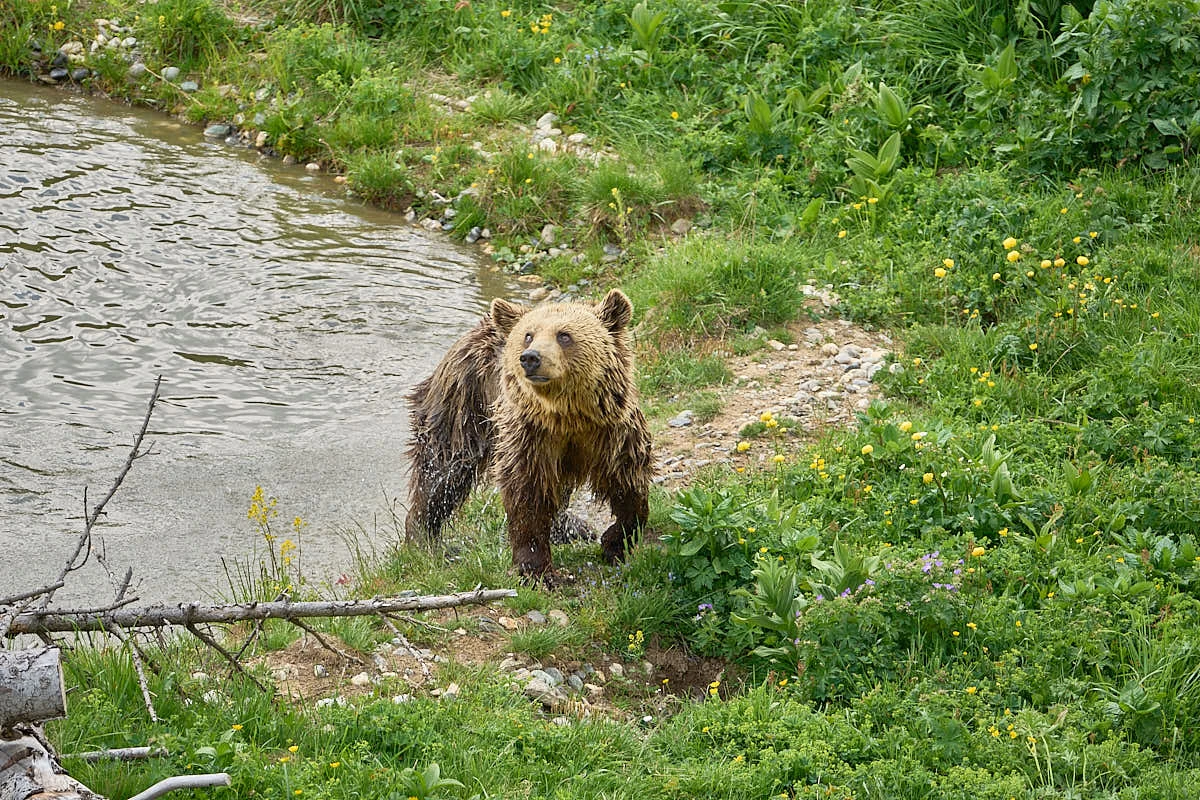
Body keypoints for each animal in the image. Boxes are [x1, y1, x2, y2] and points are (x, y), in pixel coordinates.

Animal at [404, 289, 653, 580]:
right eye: (528, 335)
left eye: (564, 335)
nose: (530, 358)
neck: (567, 415)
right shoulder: (529, 436)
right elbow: (527, 493)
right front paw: (538, 571)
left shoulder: (612, 431)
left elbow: (629, 483)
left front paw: (615, 542)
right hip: (462, 406)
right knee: (442, 471)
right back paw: (423, 537)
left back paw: (568, 527)